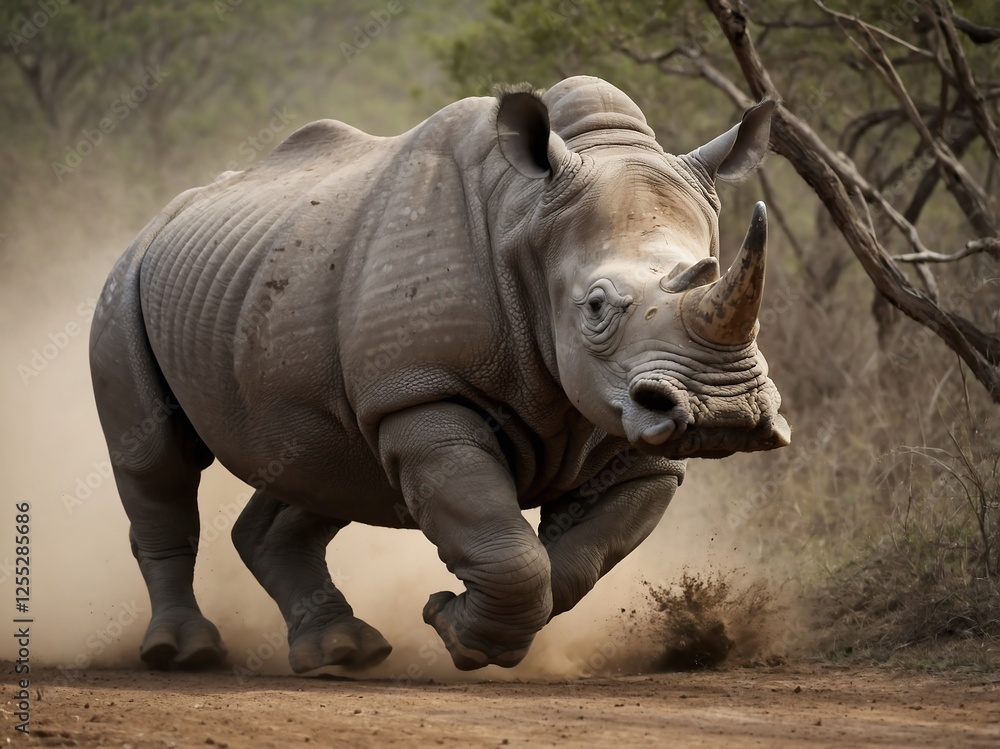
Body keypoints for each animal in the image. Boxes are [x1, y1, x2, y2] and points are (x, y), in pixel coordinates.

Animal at [89, 75, 789, 673]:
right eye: (594, 307)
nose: (724, 411)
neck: (528, 218)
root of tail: (168, 211)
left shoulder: (630, 426)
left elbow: (574, 562)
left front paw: (460, 627)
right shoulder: (422, 391)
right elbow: (508, 551)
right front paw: (456, 630)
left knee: (324, 464)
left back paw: (343, 654)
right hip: (127, 277)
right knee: (156, 457)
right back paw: (183, 653)